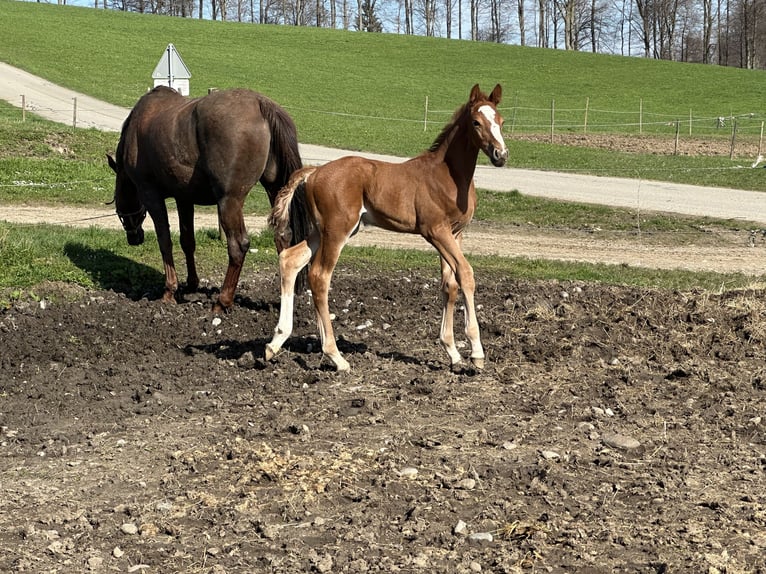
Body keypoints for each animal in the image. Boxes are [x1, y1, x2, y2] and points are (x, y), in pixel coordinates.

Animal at [107, 86, 300, 312]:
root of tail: (260, 103)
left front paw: (169, 290)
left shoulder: (151, 195)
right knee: (283, 236)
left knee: (238, 245)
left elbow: (165, 240)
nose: (134, 238)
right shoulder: (183, 198)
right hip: (275, 192)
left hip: (229, 201)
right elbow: (187, 241)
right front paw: (191, 284)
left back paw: (222, 301)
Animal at [266, 84, 510, 374]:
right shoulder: (436, 231)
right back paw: (336, 356)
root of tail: (313, 172)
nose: (501, 155)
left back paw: (275, 342)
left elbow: (449, 285)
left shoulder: (455, 233)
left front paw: (452, 352)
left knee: (290, 260)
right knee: (319, 276)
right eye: (476, 122)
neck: (448, 176)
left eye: (501, 121)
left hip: (321, 231)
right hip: (337, 231)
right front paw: (476, 352)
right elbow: (466, 274)